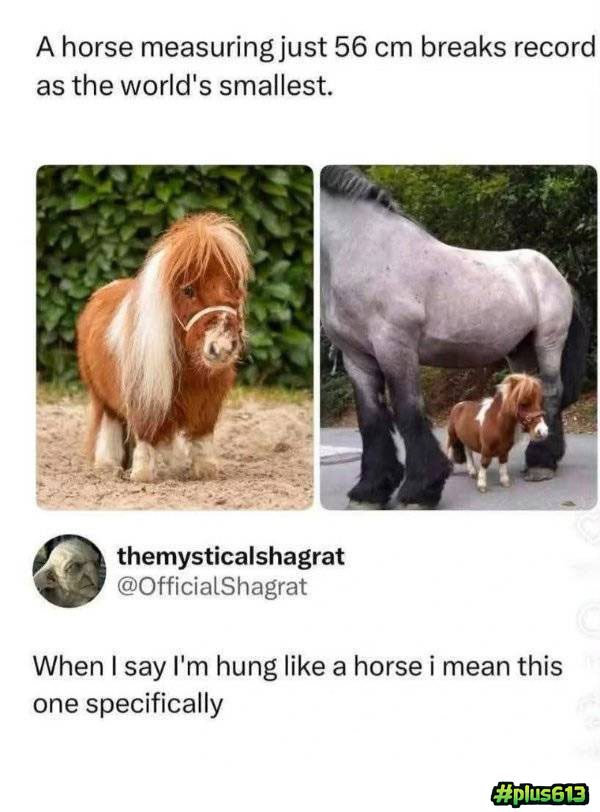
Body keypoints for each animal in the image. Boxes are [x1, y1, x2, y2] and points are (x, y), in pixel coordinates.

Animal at [76, 212, 252, 483]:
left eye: (234, 285)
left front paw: (205, 470)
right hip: (101, 395)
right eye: (188, 290)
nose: (222, 346)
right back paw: (108, 465)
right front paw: (142, 474)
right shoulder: (144, 393)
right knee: (111, 423)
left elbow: (201, 436)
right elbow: (146, 433)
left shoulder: (208, 397)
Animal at [320, 166, 590, 509]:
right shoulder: (357, 358)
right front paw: (369, 492)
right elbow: (370, 421)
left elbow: (408, 411)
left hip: (548, 341)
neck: (362, 247)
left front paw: (419, 491)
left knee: (553, 391)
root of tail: (558, 276)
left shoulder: (395, 346)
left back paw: (541, 463)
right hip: (520, 349)